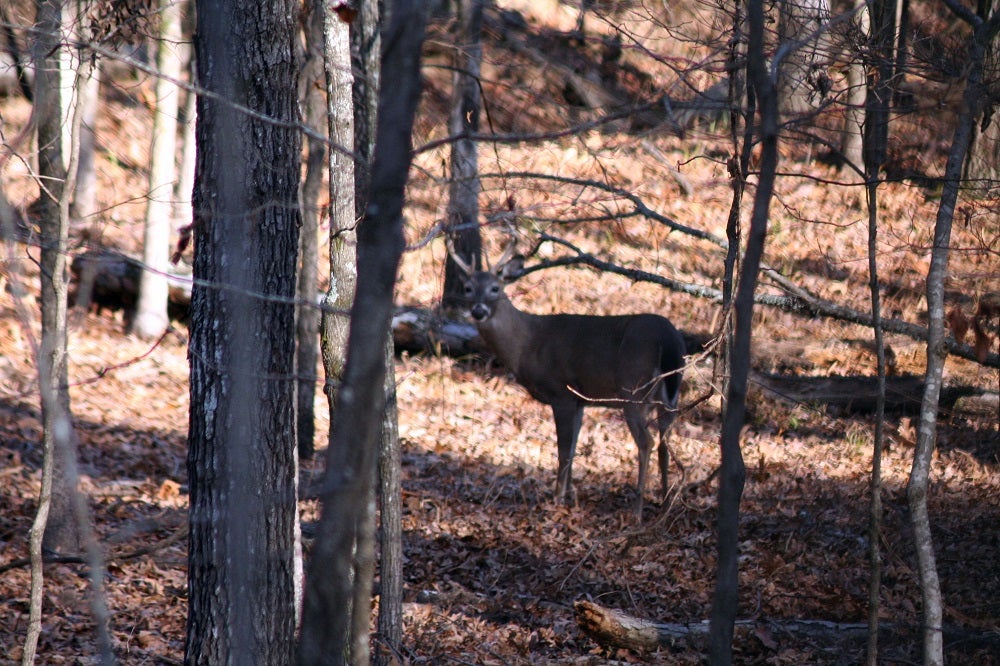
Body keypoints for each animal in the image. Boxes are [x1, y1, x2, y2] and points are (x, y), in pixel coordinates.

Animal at [448, 239, 688, 520]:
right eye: (468, 288)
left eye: (495, 288)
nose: (478, 311)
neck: (527, 345)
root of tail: (668, 340)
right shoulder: (579, 400)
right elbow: (573, 448)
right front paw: (571, 495)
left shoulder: (560, 392)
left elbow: (563, 450)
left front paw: (557, 498)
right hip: (670, 394)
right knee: (665, 442)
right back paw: (665, 502)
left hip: (633, 389)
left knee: (646, 442)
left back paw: (637, 510)